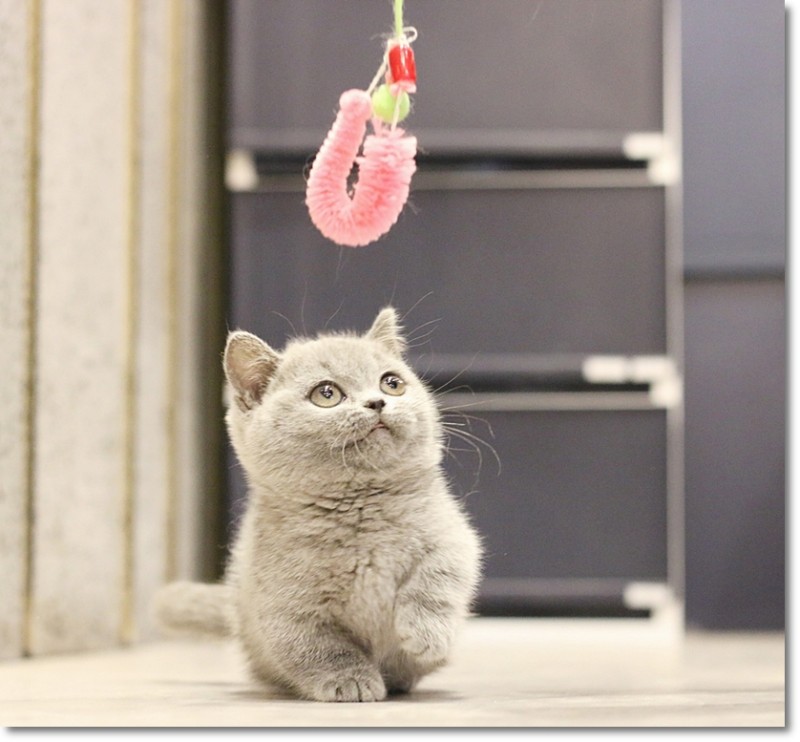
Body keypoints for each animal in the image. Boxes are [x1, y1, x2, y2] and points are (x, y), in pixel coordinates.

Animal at [154, 307, 483, 702]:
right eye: (326, 394)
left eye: (392, 383)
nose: (377, 402)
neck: (362, 512)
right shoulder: (288, 607)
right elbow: (320, 647)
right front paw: (350, 680)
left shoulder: (453, 536)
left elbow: (439, 578)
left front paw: (425, 634)